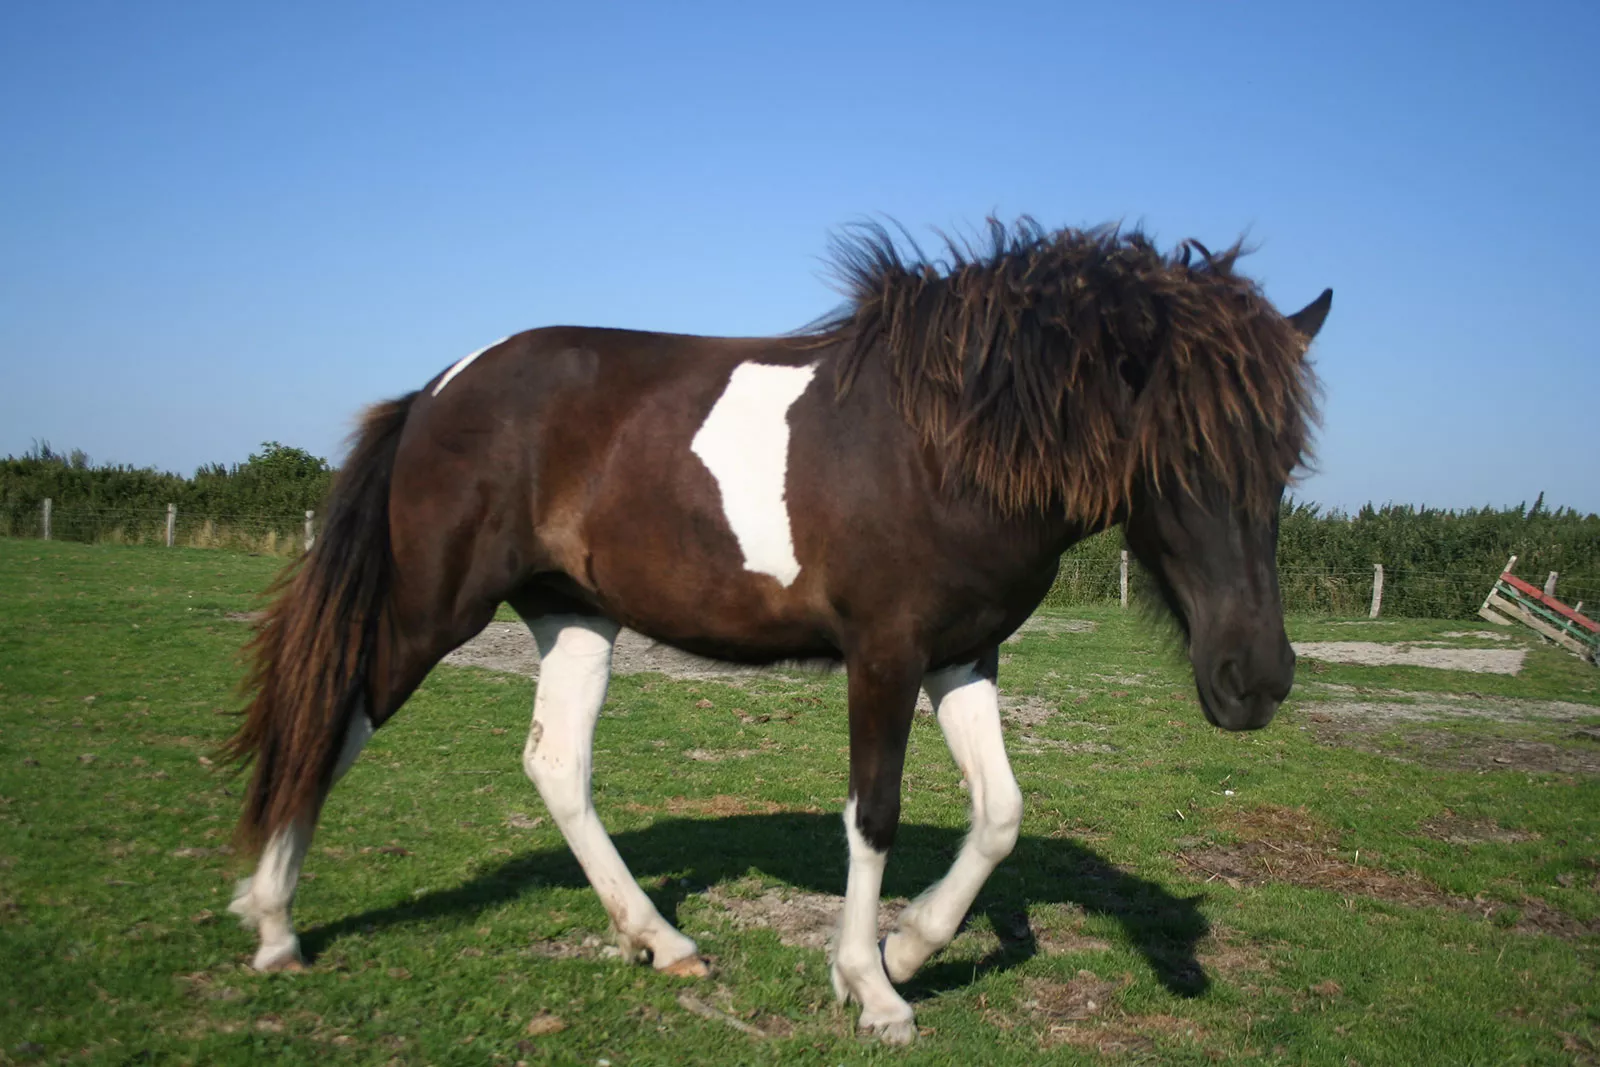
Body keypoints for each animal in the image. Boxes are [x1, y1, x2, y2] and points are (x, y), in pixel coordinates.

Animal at [223, 217, 1330, 1044]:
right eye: (1180, 451)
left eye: (1284, 459)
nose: (1256, 678)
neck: (944, 443)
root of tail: (436, 391)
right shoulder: (884, 653)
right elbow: (873, 812)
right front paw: (870, 987)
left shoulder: (963, 655)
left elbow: (1001, 814)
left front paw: (909, 947)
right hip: (430, 609)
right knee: (333, 716)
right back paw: (272, 927)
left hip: (575, 615)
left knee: (556, 764)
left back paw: (660, 941)